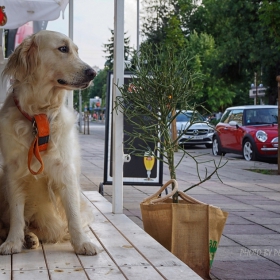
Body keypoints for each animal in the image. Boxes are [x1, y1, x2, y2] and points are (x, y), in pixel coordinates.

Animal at [0, 30, 98, 256]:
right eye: (63, 49)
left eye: (76, 50)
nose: (93, 73)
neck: (38, 116)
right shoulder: (12, 171)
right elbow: (16, 215)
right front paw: (13, 242)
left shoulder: (65, 170)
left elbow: (73, 215)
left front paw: (82, 242)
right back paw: (24, 237)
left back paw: (32, 238)